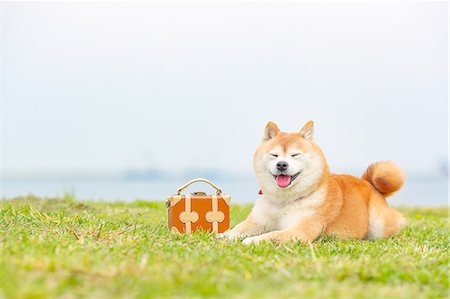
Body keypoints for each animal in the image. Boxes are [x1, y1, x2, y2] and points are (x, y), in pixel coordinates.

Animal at [222, 120, 408, 245]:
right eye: (274, 155)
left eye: (295, 155)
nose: (281, 164)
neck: (284, 201)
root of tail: (368, 183)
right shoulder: (257, 222)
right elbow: (237, 229)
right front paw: (223, 236)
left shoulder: (299, 231)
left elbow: (271, 235)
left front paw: (252, 240)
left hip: (378, 223)